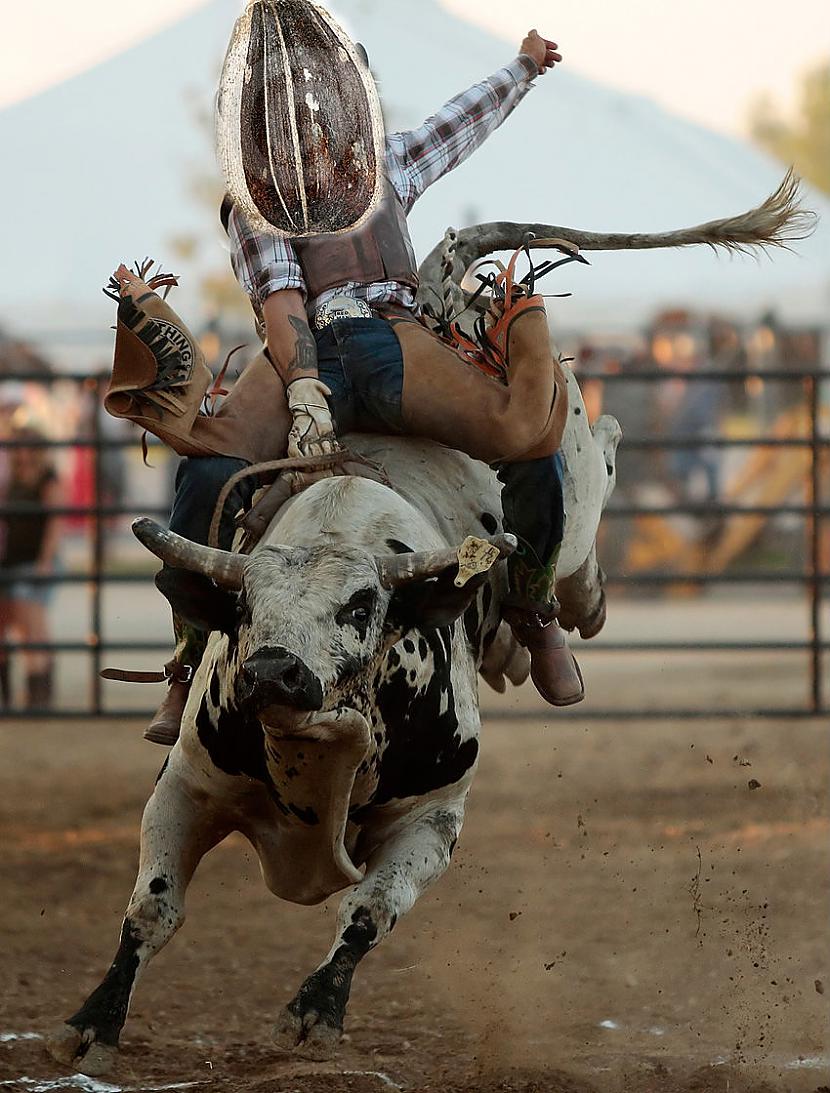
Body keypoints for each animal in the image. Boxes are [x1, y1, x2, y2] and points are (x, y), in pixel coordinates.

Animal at [45, 380, 616, 1071]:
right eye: (244, 606)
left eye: (362, 606)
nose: (271, 672)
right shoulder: (185, 788)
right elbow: (151, 910)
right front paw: (93, 1022)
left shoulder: (430, 819)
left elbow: (368, 909)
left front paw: (314, 1012)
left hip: (572, 481)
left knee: (590, 490)